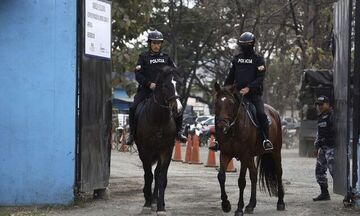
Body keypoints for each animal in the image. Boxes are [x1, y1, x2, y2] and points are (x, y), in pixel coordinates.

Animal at [134, 65, 181, 215]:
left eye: (178, 84)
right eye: (165, 86)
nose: (178, 109)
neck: (159, 120)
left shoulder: (167, 151)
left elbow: (161, 178)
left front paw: (161, 207)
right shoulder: (145, 151)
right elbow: (147, 176)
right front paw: (147, 204)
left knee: (157, 173)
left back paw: (155, 200)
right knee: (148, 173)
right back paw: (148, 198)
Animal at [212, 83, 286, 216]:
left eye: (231, 103)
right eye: (216, 103)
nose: (221, 126)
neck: (233, 130)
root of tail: (275, 112)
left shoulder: (244, 155)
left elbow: (241, 181)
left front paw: (239, 209)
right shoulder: (225, 154)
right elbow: (221, 177)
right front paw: (226, 205)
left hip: (275, 151)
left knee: (278, 172)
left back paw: (280, 202)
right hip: (251, 156)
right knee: (254, 175)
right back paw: (251, 205)